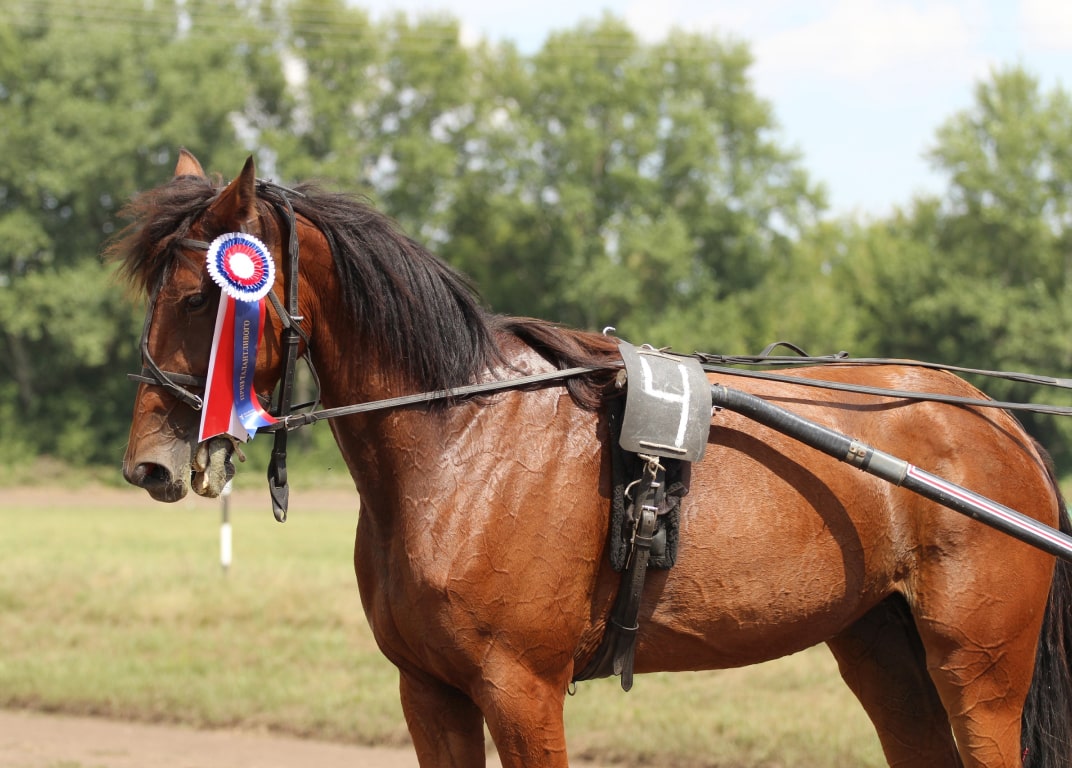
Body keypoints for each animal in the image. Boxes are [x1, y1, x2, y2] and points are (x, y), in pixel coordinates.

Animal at [112, 150, 1072, 767]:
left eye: (200, 296)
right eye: (156, 292)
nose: (147, 466)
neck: (462, 441)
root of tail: (995, 421)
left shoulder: (521, 688)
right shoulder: (430, 691)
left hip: (978, 675)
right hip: (884, 653)